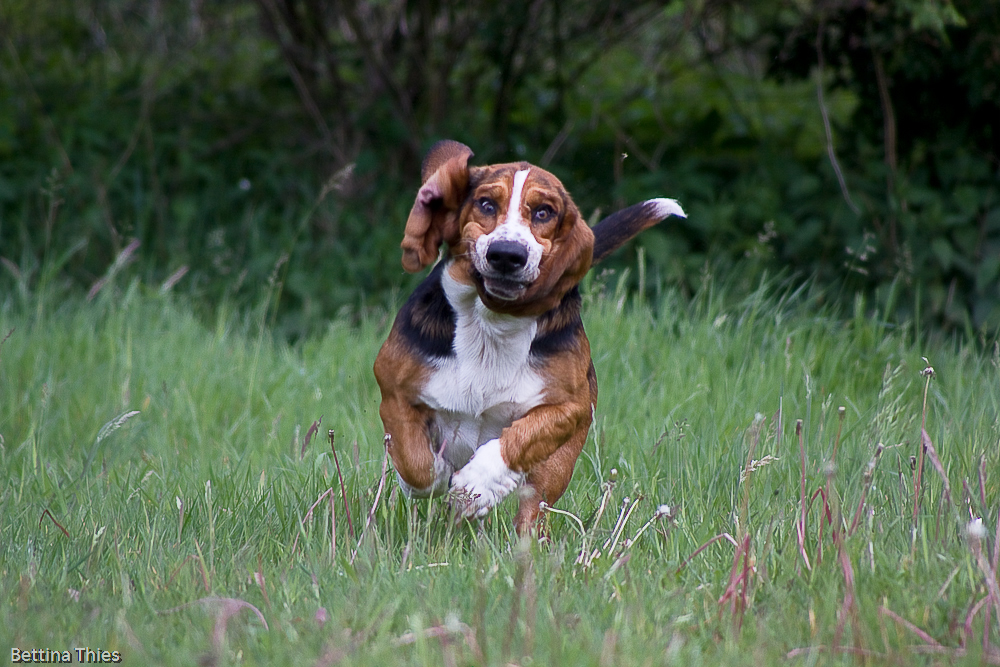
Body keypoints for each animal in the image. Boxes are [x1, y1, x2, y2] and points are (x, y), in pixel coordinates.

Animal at [376, 140, 688, 532]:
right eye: (486, 204)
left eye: (543, 213)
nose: (507, 255)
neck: (493, 323)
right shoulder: (393, 389)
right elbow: (416, 464)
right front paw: (433, 474)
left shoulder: (568, 408)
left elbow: (519, 440)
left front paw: (477, 485)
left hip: (556, 468)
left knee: (532, 509)